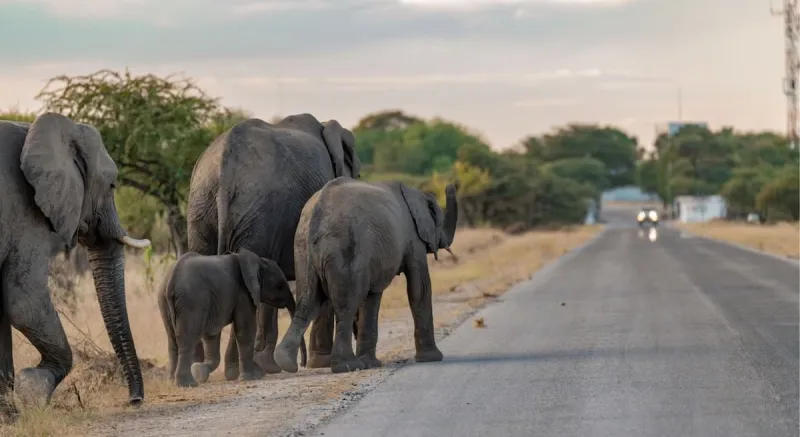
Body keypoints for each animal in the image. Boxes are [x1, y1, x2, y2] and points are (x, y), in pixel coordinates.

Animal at [0, 114, 151, 416]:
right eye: (112, 186)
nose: (135, 399)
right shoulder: (25, 213)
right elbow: (24, 302)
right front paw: (34, 387)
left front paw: (11, 416)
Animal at [157, 248, 308, 387]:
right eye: (280, 285)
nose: (301, 364)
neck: (256, 260)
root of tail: (172, 279)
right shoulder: (243, 292)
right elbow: (245, 329)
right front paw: (250, 377)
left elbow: (212, 335)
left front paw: (200, 370)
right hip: (192, 301)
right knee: (186, 340)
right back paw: (187, 384)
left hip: (164, 301)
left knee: (172, 341)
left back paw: (172, 382)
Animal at [187, 114, 361, 378]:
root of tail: (224, 169)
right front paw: (320, 362)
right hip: (257, 212)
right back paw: (243, 370)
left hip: (202, 206)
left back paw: (199, 372)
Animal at [274, 178, 458, 374]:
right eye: (440, 221)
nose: (450, 185)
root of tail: (317, 213)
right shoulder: (413, 238)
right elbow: (419, 287)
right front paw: (431, 358)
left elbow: (373, 297)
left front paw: (371, 364)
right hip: (345, 250)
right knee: (346, 306)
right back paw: (347, 366)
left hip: (303, 252)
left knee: (308, 302)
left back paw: (285, 362)